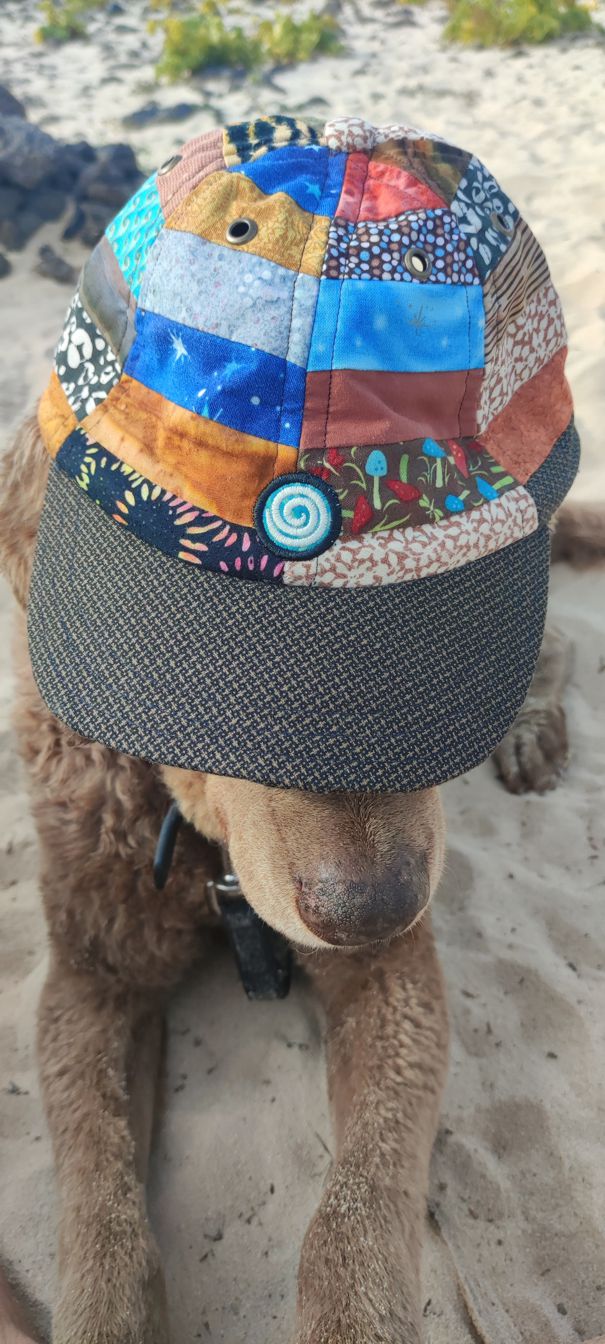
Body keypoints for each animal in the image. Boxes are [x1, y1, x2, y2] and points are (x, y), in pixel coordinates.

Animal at [0, 411, 596, 1344]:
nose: (375, 913)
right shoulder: (92, 978)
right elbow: (102, 1219)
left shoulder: (391, 975)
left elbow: (356, 1226)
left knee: (554, 637)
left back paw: (530, 732)